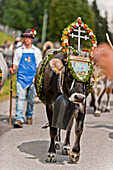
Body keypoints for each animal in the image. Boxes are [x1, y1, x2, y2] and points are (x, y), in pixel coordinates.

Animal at [35, 17, 97, 163]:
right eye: (69, 75)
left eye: (88, 79)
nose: (78, 96)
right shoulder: (51, 104)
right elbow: (53, 128)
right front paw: (51, 153)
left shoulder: (81, 105)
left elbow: (78, 128)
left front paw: (74, 153)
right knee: (57, 126)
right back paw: (58, 143)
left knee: (68, 126)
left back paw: (66, 146)